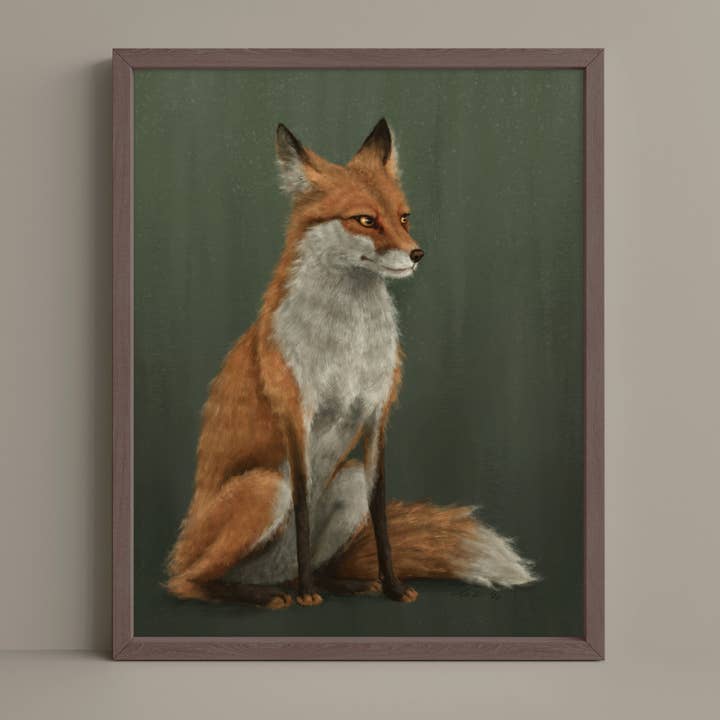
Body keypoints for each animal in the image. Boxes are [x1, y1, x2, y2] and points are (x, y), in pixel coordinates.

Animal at [166, 118, 536, 609]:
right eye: (365, 220)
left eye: (404, 217)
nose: (418, 254)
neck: (350, 344)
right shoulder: (296, 417)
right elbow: (303, 508)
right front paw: (307, 596)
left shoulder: (377, 416)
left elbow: (380, 517)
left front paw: (392, 586)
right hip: (265, 487)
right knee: (188, 582)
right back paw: (269, 594)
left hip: (348, 480)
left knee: (316, 562)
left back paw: (341, 583)